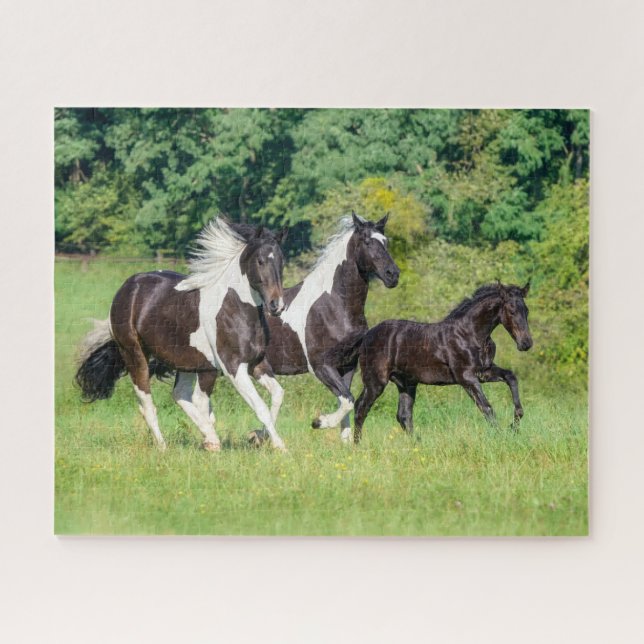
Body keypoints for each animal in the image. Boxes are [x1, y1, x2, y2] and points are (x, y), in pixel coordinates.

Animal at [75, 218, 289, 451]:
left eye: (281, 262)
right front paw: (281, 447)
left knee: (181, 395)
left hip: (189, 362)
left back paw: (209, 439)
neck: (235, 308)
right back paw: (166, 447)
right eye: (260, 261)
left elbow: (277, 396)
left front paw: (257, 436)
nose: (276, 305)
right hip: (135, 355)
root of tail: (128, 287)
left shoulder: (256, 363)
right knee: (149, 404)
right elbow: (260, 407)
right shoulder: (233, 368)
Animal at [250, 212, 401, 443]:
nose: (393, 275)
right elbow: (347, 400)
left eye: (386, 241)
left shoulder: (347, 365)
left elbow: (345, 401)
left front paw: (345, 442)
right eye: (367, 242)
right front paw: (319, 422)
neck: (333, 306)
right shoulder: (321, 366)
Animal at [337, 282, 533, 443]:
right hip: (376, 382)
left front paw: (515, 425)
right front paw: (502, 436)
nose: (526, 343)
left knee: (403, 415)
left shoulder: (485, 372)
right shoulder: (466, 377)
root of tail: (366, 337)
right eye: (512, 310)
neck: (470, 334)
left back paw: (417, 444)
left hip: (406, 383)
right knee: (361, 408)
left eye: (526, 310)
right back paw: (357, 445)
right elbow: (487, 407)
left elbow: (511, 377)